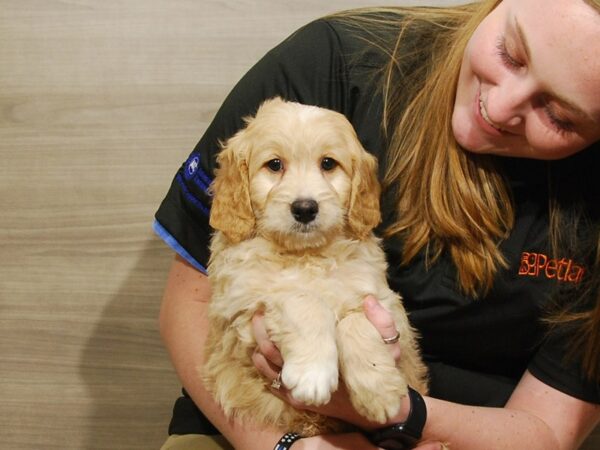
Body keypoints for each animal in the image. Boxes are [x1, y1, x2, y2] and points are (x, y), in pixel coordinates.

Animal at [204, 97, 428, 436]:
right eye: (274, 165)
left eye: (328, 164)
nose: (305, 208)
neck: (307, 255)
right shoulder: (243, 304)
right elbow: (303, 299)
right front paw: (313, 373)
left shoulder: (380, 298)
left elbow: (356, 320)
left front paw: (379, 391)